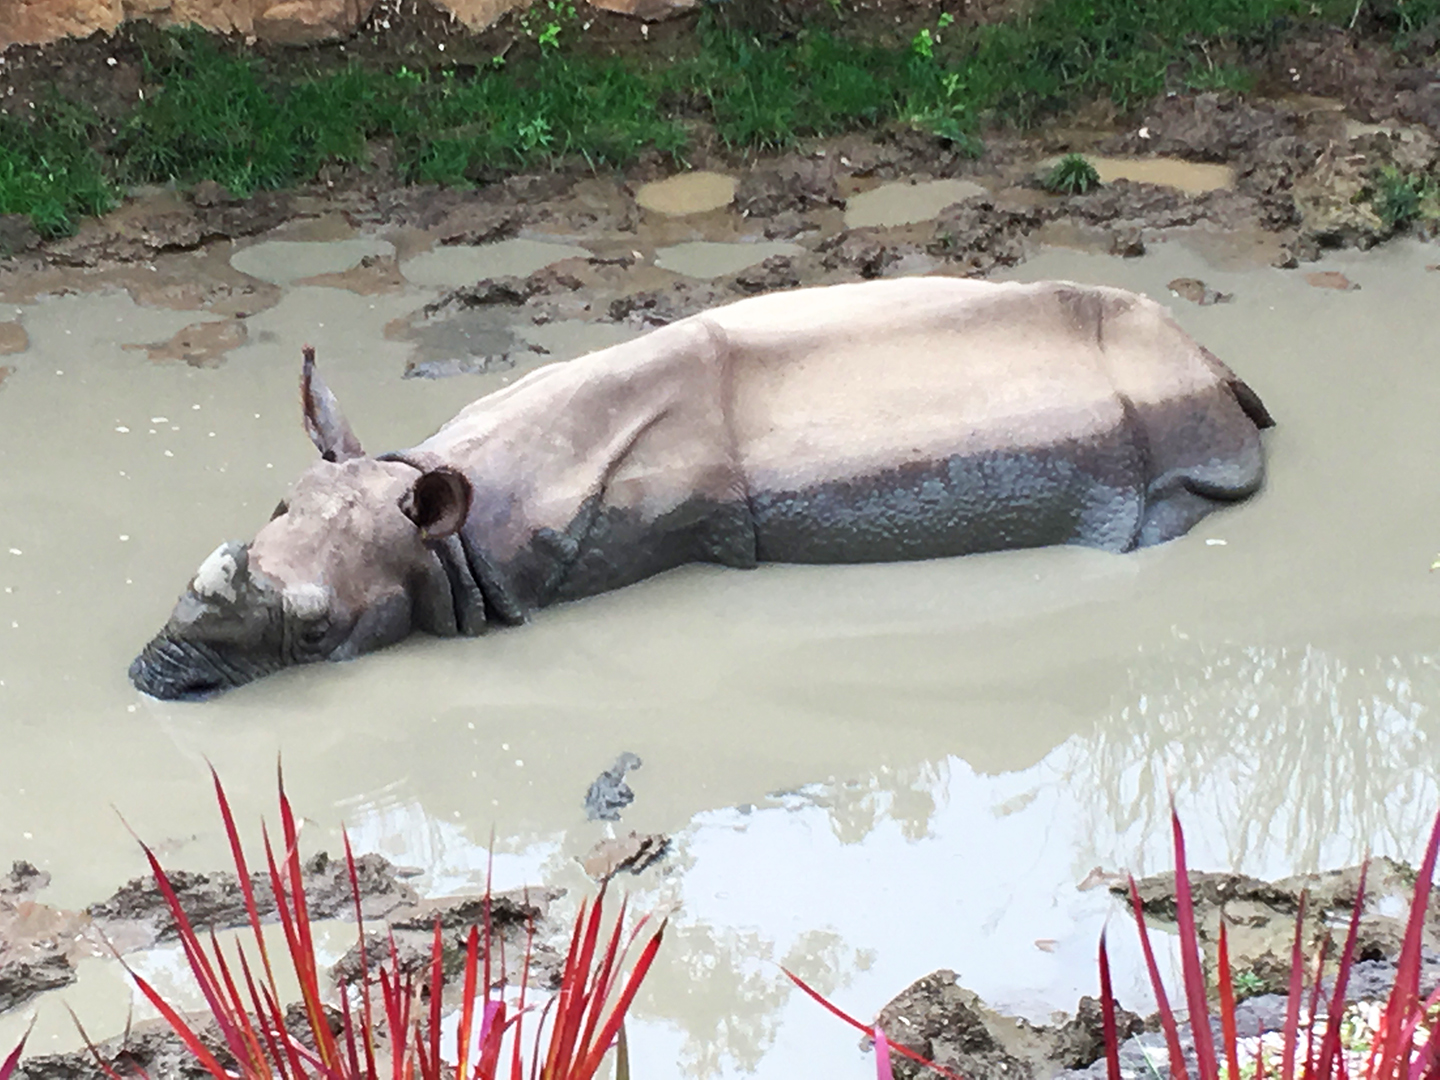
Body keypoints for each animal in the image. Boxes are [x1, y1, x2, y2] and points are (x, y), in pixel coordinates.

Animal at [129, 276, 1273, 700]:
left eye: (318, 633)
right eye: (268, 510)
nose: (150, 675)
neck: (444, 523)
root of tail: (1217, 368)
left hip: (1174, 444)